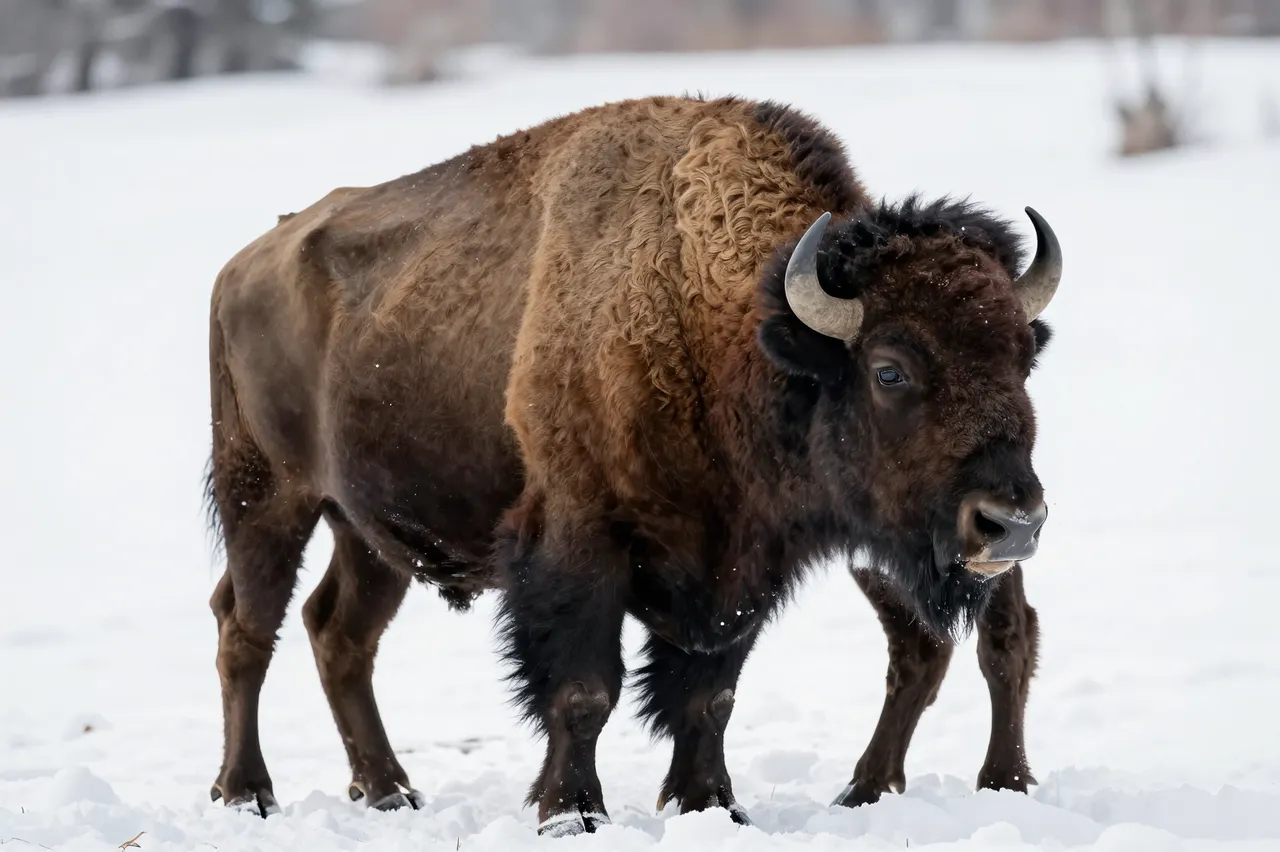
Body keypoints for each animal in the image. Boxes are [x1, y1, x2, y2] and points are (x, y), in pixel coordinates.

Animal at [202, 95, 1059, 834]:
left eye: (1024, 358)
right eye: (890, 369)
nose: (1012, 523)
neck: (716, 316)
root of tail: (241, 266)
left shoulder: (738, 568)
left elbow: (709, 696)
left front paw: (710, 805)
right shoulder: (580, 547)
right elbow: (585, 692)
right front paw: (571, 813)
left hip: (368, 533)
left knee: (337, 632)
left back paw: (388, 791)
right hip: (268, 500)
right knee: (247, 629)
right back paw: (247, 794)